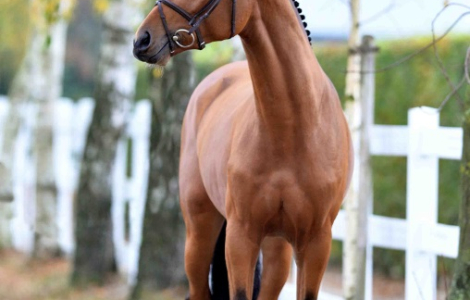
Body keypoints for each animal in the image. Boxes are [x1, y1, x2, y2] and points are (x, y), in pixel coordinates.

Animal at [133, 0, 352, 298]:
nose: (142, 40)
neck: (291, 129)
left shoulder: (316, 243)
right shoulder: (241, 237)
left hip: (277, 250)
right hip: (199, 234)